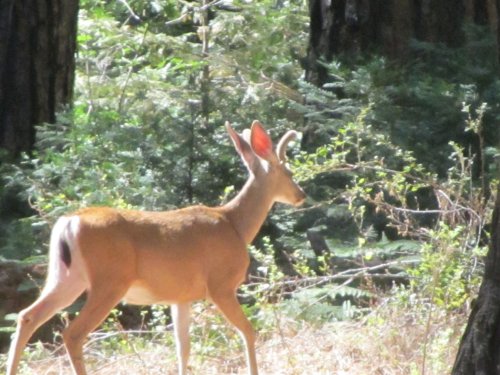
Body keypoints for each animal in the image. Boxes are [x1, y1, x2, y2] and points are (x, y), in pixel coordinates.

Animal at [5, 120, 306, 375]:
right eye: (288, 172)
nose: (301, 195)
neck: (235, 224)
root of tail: (69, 222)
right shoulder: (221, 284)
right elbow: (248, 331)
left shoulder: (181, 296)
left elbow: (183, 347)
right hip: (109, 280)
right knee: (73, 333)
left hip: (65, 276)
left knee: (27, 316)